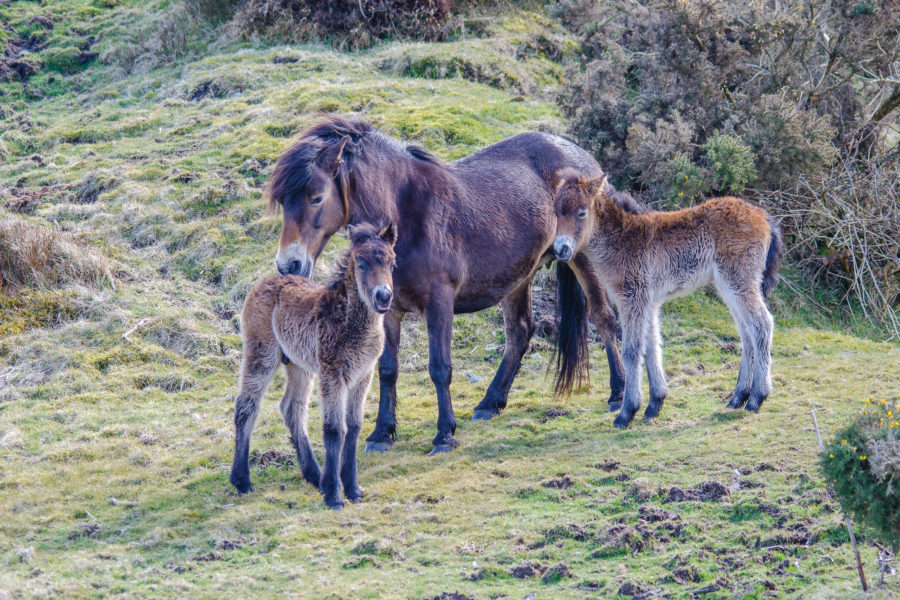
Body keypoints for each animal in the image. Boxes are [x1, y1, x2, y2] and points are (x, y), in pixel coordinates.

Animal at [232, 223, 398, 508]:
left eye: (392, 262)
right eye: (362, 264)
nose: (383, 296)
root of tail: (263, 283)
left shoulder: (363, 375)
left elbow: (353, 427)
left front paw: (352, 489)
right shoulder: (333, 373)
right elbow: (334, 429)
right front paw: (334, 495)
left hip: (300, 365)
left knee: (291, 408)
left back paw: (314, 474)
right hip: (262, 354)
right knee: (246, 406)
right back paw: (241, 480)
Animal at [264, 116, 624, 454]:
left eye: (316, 198)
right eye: (283, 201)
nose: (288, 264)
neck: (407, 213)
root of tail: (584, 159)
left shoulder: (440, 301)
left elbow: (440, 367)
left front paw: (444, 434)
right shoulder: (389, 307)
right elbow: (388, 369)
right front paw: (382, 433)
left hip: (583, 258)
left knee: (604, 319)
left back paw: (618, 394)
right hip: (519, 276)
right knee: (520, 330)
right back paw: (490, 402)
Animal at [548, 169, 780, 428]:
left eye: (581, 212)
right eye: (556, 212)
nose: (561, 250)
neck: (621, 238)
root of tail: (764, 217)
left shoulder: (632, 299)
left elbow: (632, 350)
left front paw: (626, 412)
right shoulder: (647, 302)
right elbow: (652, 345)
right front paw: (654, 404)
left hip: (738, 280)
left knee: (762, 325)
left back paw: (757, 398)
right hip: (729, 285)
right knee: (746, 331)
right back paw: (738, 397)